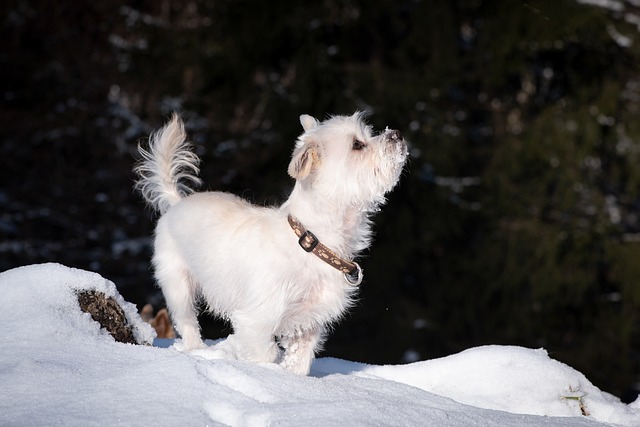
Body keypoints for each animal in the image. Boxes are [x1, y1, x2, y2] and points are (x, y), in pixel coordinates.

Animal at [135, 111, 408, 374]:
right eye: (357, 145)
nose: (396, 133)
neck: (311, 241)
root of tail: (177, 201)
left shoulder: (309, 323)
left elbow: (299, 363)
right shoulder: (257, 319)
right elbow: (264, 354)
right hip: (178, 284)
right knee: (187, 322)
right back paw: (197, 350)